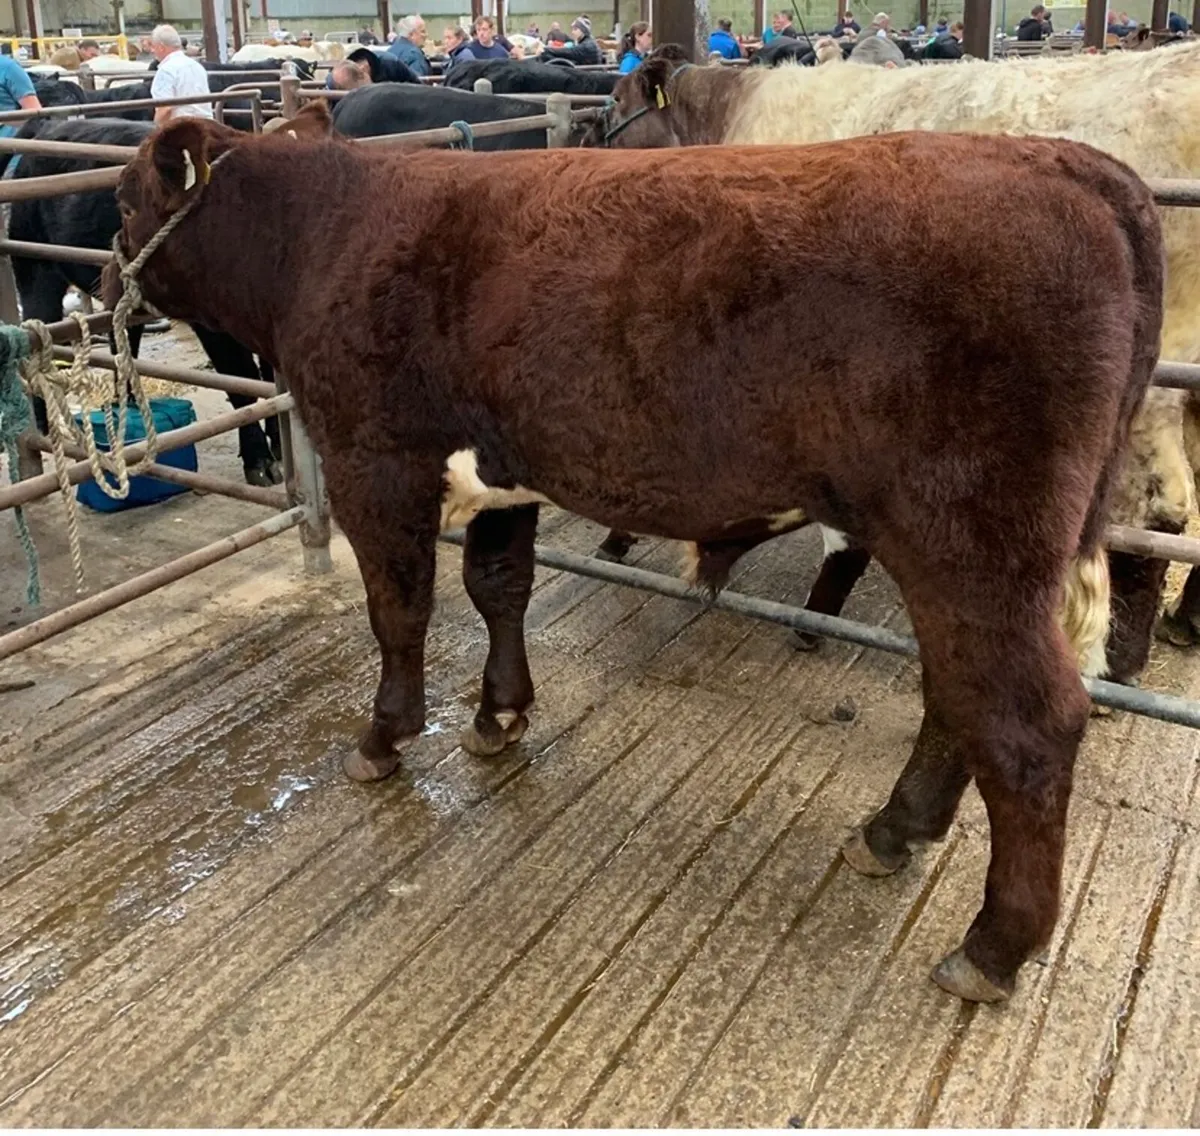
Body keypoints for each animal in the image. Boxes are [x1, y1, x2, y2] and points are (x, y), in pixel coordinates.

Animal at [105, 104, 1164, 1005]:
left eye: (123, 199)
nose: (107, 281)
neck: (325, 233)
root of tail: (1074, 164)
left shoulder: (374, 462)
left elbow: (399, 609)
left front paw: (384, 738)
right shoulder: (506, 473)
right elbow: (499, 588)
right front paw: (499, 715)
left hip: (976, 545)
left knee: (1024, 722)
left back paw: (991, 947)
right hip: (964, 558)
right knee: (956, 695)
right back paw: (892, 832)